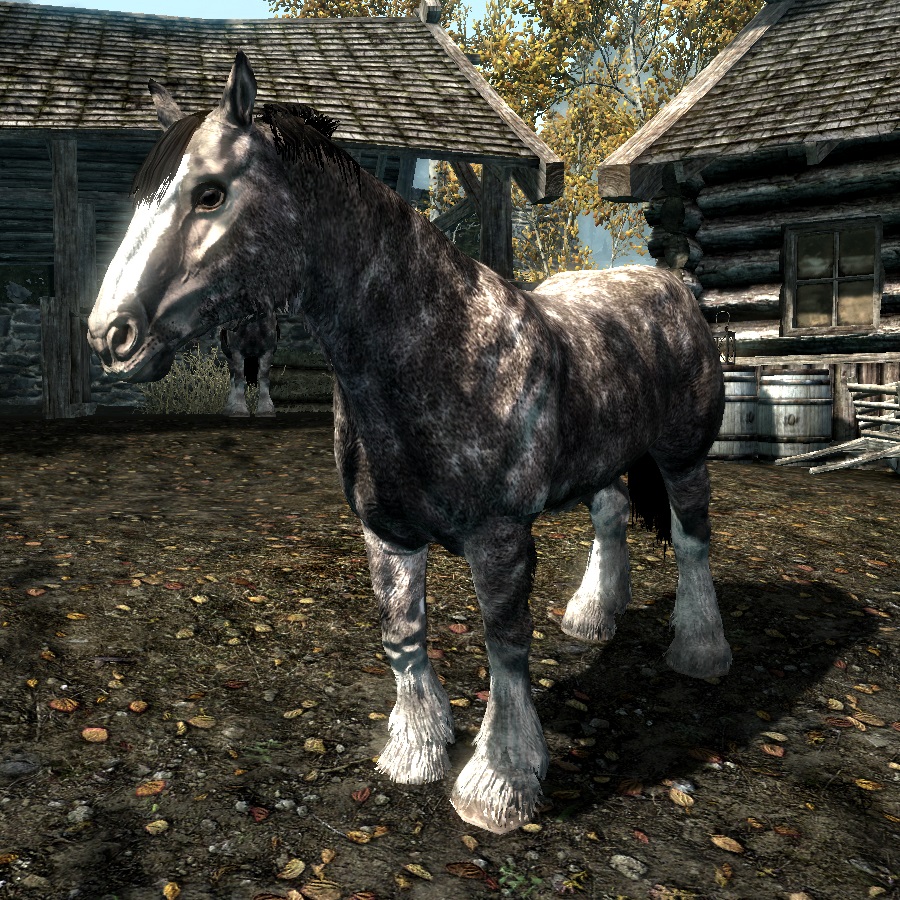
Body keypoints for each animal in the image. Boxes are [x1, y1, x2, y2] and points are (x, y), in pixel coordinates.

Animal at [86, 51, 731, 835]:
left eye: (210, 193)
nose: (110, 336)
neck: (436, 350)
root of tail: (671, 284)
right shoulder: (385, 531)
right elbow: (402, 633)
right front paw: (416, 750)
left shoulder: (498, 535)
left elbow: (504, 644)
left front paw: (499, 782)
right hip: (601, 459)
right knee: (609, 519)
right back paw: (591, 619)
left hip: (683, 457)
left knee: (693, 538)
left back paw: (700, 651)